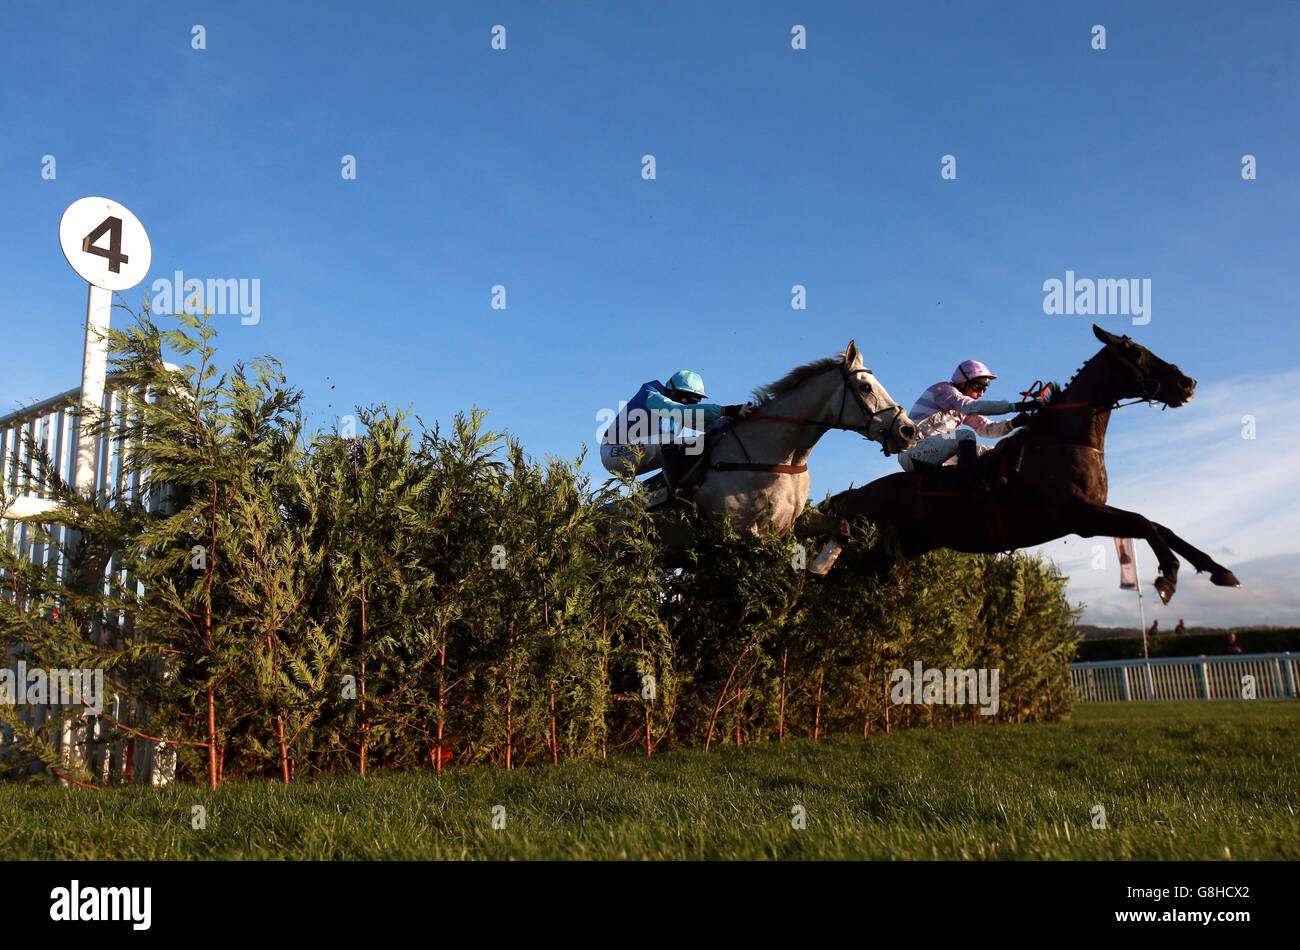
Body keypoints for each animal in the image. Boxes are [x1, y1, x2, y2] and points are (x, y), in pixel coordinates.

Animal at [811, 327, 1237, 605]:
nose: (1186, 383)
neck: (1066, 440)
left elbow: (1160, 525)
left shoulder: (1089, 512)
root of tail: (852, 495)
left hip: (898, 551)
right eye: (1134, 352)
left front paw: (1219, 570)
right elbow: (1143, 522)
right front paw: (1167, 575)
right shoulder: (1078, 515)